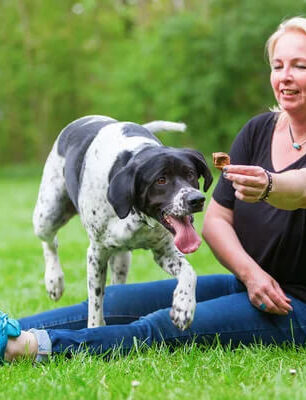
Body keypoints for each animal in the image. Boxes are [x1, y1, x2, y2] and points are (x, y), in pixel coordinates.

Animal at [32, 114, 212, 330]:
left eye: (191, 174)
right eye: (161, 180)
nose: (196, 200)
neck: (136, 215)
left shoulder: (164, 252)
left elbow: (189, 272)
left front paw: (183, 306)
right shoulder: (96, 253)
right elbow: (95, 304)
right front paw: (95, 329)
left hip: (122, 258)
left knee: (117, 284)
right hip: (48, 215)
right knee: (50, 243)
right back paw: (54, 280)